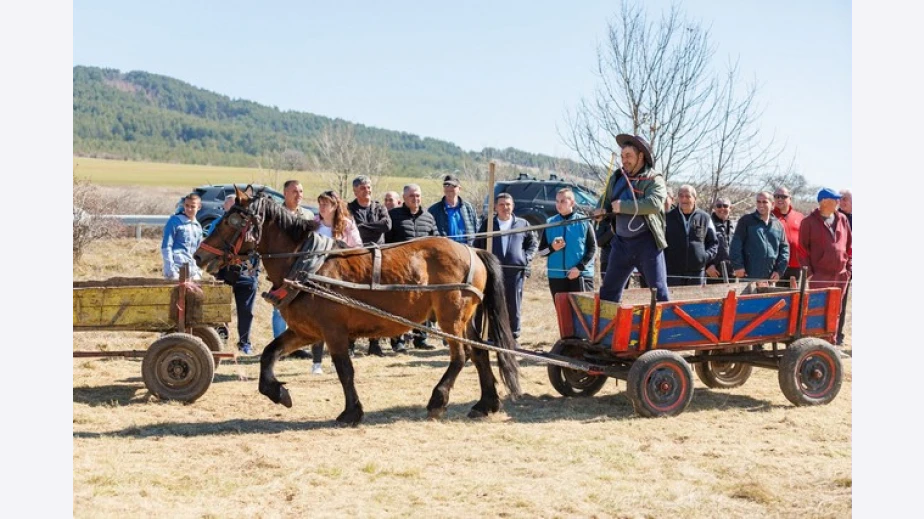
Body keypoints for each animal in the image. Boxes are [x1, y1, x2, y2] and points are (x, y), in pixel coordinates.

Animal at [194, 186, 521, 425]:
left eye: (232, 220)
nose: (199, 255)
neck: (306, 263)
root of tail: (473, 249)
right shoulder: (305, 331)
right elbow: (269, 353)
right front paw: (278, 392)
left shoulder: (334, 332)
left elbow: (344, 370)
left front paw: (351, 412)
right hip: (464, 319)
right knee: (479, 353)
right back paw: (485, 404)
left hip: (450, 317)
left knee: (461, 356)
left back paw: (437, 400)